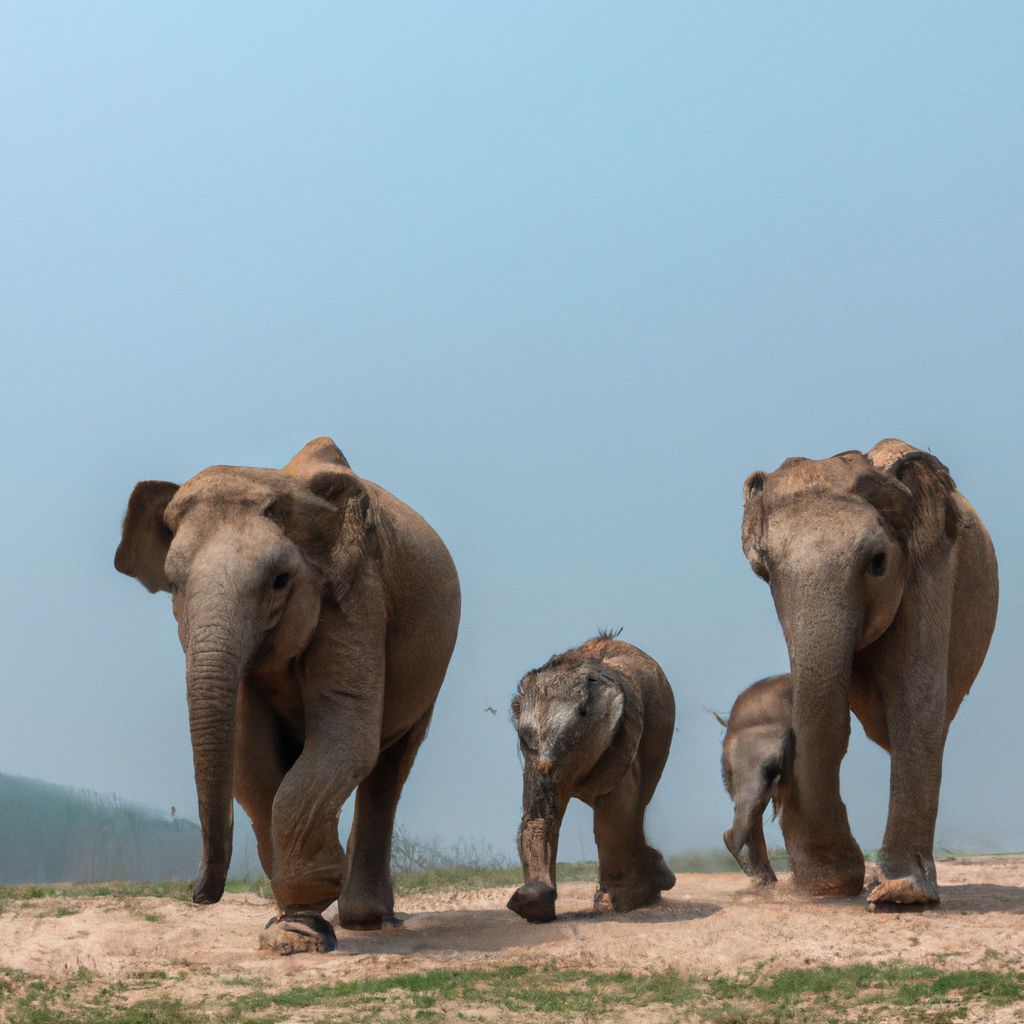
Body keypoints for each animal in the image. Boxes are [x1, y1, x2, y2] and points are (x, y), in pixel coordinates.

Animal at [115, 434, 460, 950]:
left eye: (280, 581)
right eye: (173, 585)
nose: (199, 894)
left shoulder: (357, 598)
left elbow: (345, 737)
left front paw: (303, 924)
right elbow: (249, 755)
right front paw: (290, 931)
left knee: (390, 763)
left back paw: (367, 919)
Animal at [505, 634, 679, 925]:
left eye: (583, 714)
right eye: (527, 735)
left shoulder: (623, 732)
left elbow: (614, 813)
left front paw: (620, 904)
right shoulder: (532, 758)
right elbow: (537, 816)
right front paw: (532, 904)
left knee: (637, 805)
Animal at [741, 438, 995, 905]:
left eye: (878, 562)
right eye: (764, 567)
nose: (837, 884)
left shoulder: (931, 573)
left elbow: (916, 701)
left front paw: (900, 894)